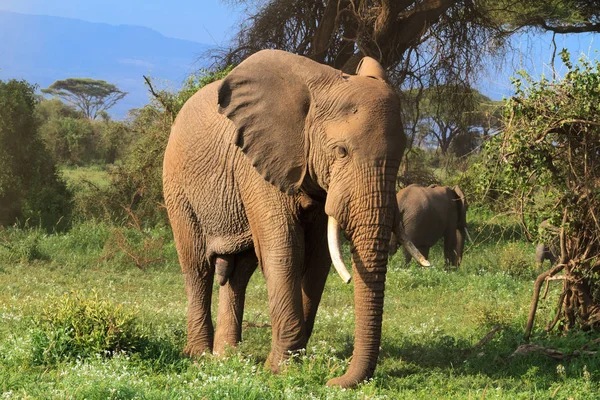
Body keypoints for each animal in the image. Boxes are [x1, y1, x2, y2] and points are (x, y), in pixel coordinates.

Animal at [162, 49, 428, 388]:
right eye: (341, 152)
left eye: (400, 154)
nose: (333, 381)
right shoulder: (257, 161)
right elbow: (285, 249)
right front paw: (281, 370)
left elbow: (317, 259)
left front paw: (293, 364)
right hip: (177, 185)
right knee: (197, 266)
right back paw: (200, 357)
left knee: (239, 271)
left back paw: (227, 358)